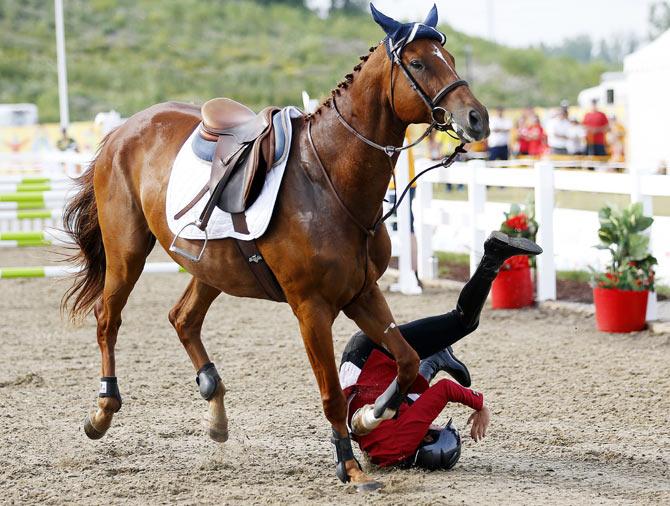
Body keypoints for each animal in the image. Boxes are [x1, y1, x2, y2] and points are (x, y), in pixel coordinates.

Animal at [64, 30, 488, 486]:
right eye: (419, 63)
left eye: (450, 58)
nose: (478, 118)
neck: (330, 178)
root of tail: (123, 128)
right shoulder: (312, 310)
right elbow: (333, 394)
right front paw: (349, 465)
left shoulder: (362, 293)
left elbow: (406, 360)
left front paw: (369, 418)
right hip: (127, 253)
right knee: (108, 320)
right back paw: (103, 410)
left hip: (210, 268)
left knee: (183, 319)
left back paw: (215, 409)